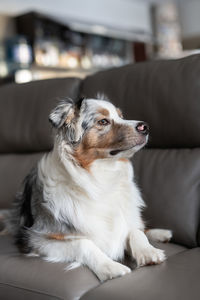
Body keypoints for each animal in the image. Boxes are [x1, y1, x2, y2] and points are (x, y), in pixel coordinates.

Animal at [3, 96, 172, 282]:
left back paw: (162, 233)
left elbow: (135, 231)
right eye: (103, 121)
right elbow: (83, 243)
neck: (100, 178)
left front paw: (148, 251)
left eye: (121, 116)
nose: (145, 126)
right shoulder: (38, 239)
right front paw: (110, 267)